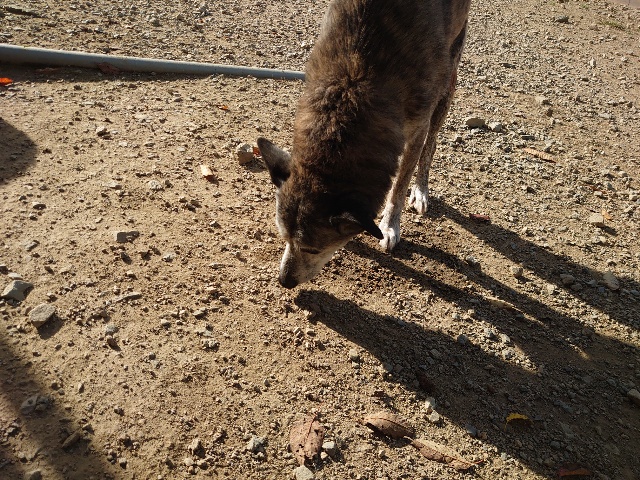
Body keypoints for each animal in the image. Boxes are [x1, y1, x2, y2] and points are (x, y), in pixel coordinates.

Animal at [259, 0, 471, 288]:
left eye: (312, 249)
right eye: (285, 238)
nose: (284, 281)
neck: (356, 76)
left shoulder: (417, 126)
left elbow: (399, 185)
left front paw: (390, 226)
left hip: (448, 78)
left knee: (433, 143)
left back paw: (421, 190)